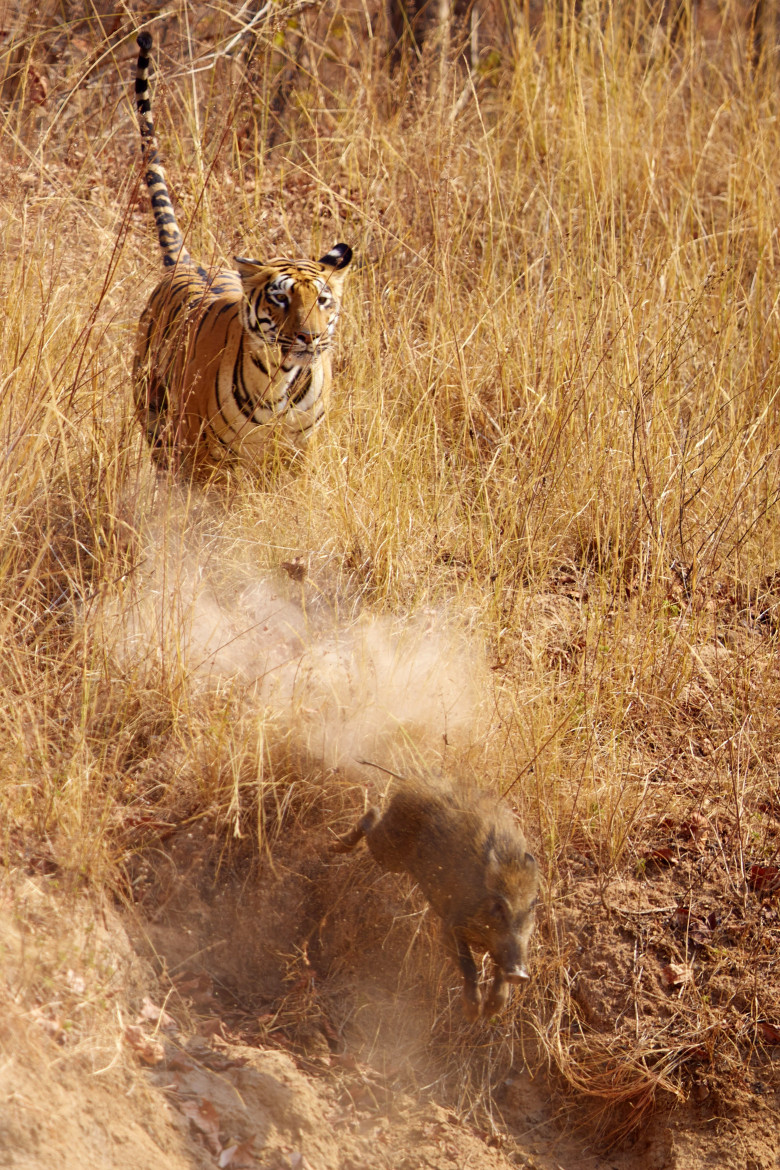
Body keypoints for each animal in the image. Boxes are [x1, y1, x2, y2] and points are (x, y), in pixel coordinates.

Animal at [132, 30, 353, 460]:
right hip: (153, 412)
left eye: (322, 300)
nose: (310, 337)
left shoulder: (300, 455)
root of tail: (186, 262)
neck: (283, 382)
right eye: (281, 299)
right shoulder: (201, 452)